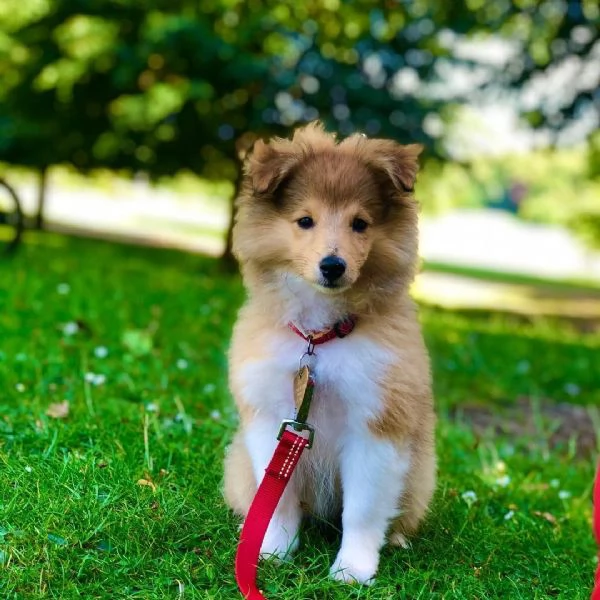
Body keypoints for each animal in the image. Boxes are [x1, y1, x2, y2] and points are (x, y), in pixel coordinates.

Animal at [225, 122, 436, 584]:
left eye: (360, 223)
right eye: (305, 221)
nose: (333, 266)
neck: (319, 338)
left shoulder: (377, 426)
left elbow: (363, 510)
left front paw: (353, 570)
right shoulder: (271, 419)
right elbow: (278, 498)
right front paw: (272, 551)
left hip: (419, 475)